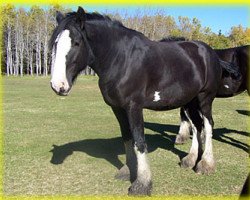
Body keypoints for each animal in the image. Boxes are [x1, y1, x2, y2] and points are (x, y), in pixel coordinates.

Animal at [49, 7, 222, 195]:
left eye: (76, 43)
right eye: (55, 44)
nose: (58, 85)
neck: (121, 59)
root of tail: (208, 51)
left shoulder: (134, 107)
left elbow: (139, 141)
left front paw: (142, 183)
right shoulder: (118, 108)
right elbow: (127, 138)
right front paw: (128, 170)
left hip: (205, 99)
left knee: (208, 125)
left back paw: (206, 164)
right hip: (189, 101)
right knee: (197, 126)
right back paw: (190, 160)